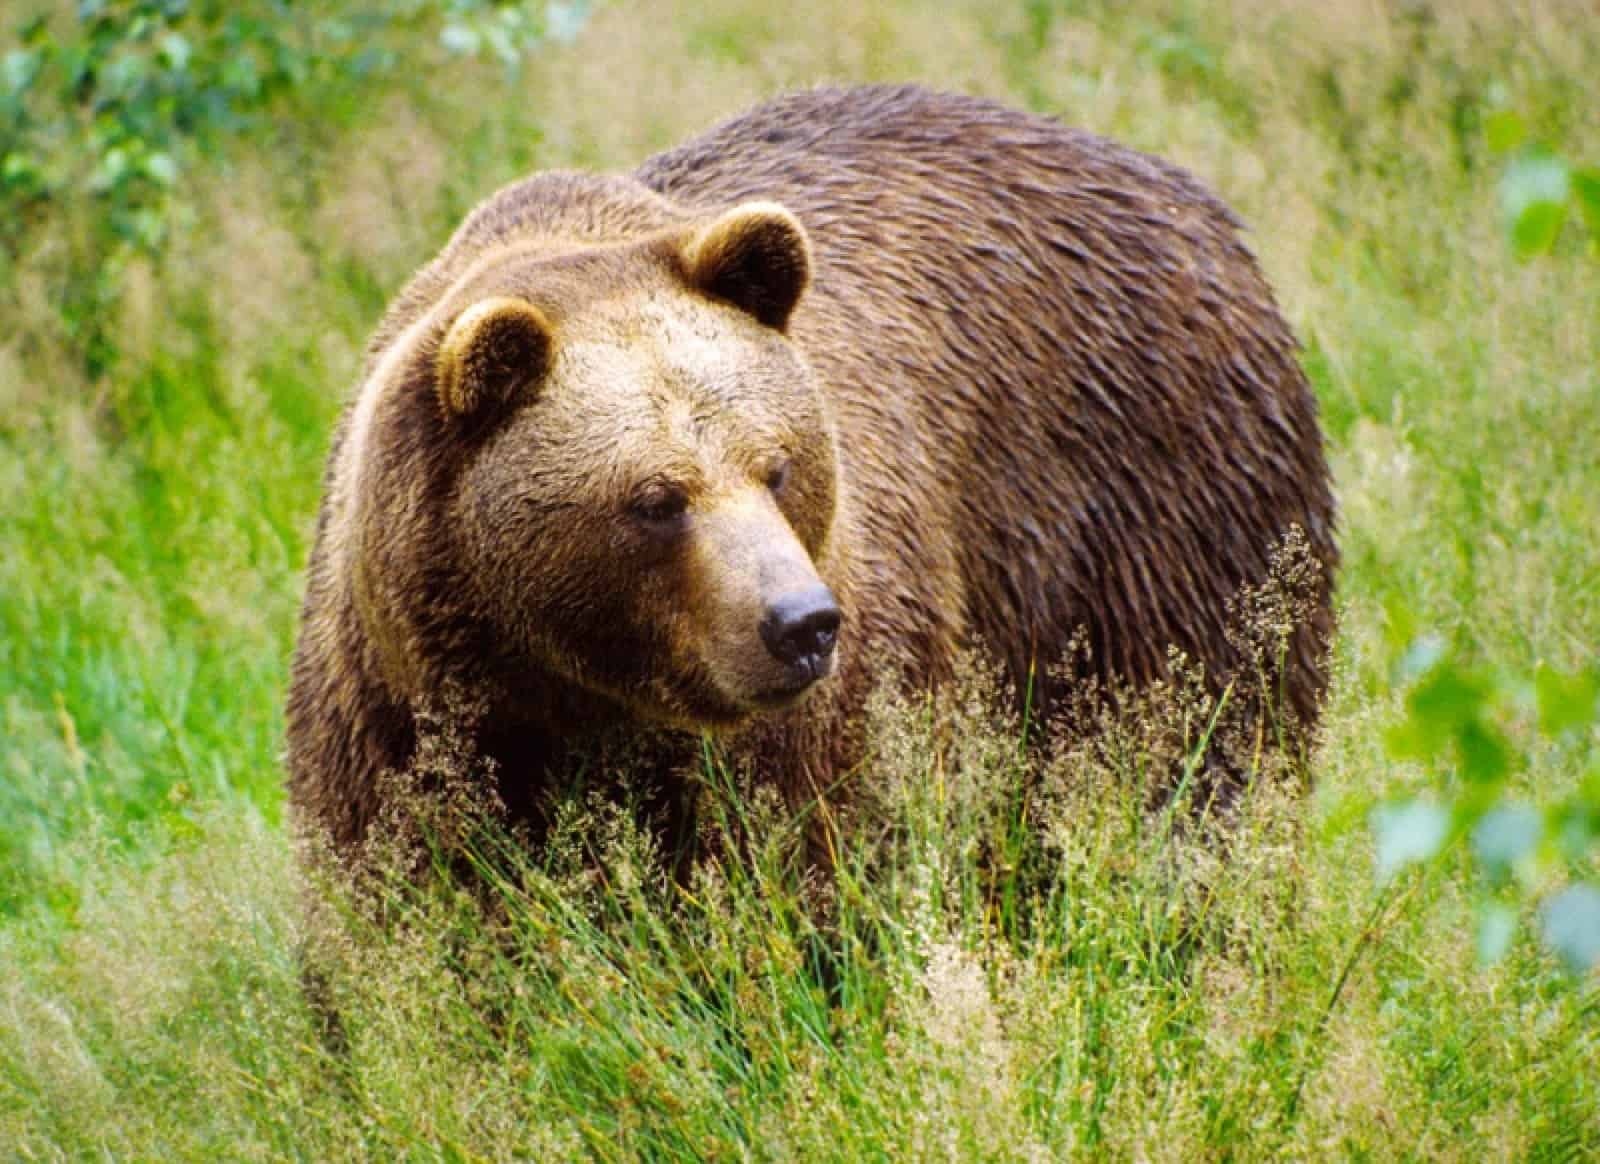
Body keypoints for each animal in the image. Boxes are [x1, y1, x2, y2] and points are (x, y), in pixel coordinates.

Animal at [284, 83, 1337, 857]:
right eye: (654, 499)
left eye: (779, 466)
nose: (799, 624)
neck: (577, 702)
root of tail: (1177, 185)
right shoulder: (402, 719)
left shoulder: (829, 712)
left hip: (1160, 499)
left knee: (1200, 735)